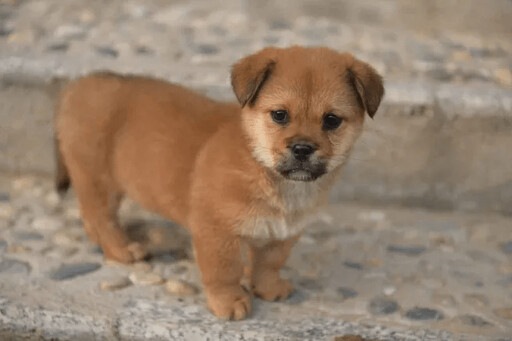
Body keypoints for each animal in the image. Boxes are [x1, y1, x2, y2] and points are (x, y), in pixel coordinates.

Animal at [56, 45, 384, 318]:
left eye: (332, 120)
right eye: (280, 115)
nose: (302, 148)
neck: (264, 170)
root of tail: (77, 85)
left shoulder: (283, 235)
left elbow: (268, 264)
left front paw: (267, 288)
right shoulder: (217, 232)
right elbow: (224, 272)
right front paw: (229, 302)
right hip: (97, 179)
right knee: (99, 218)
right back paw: (122, 251)